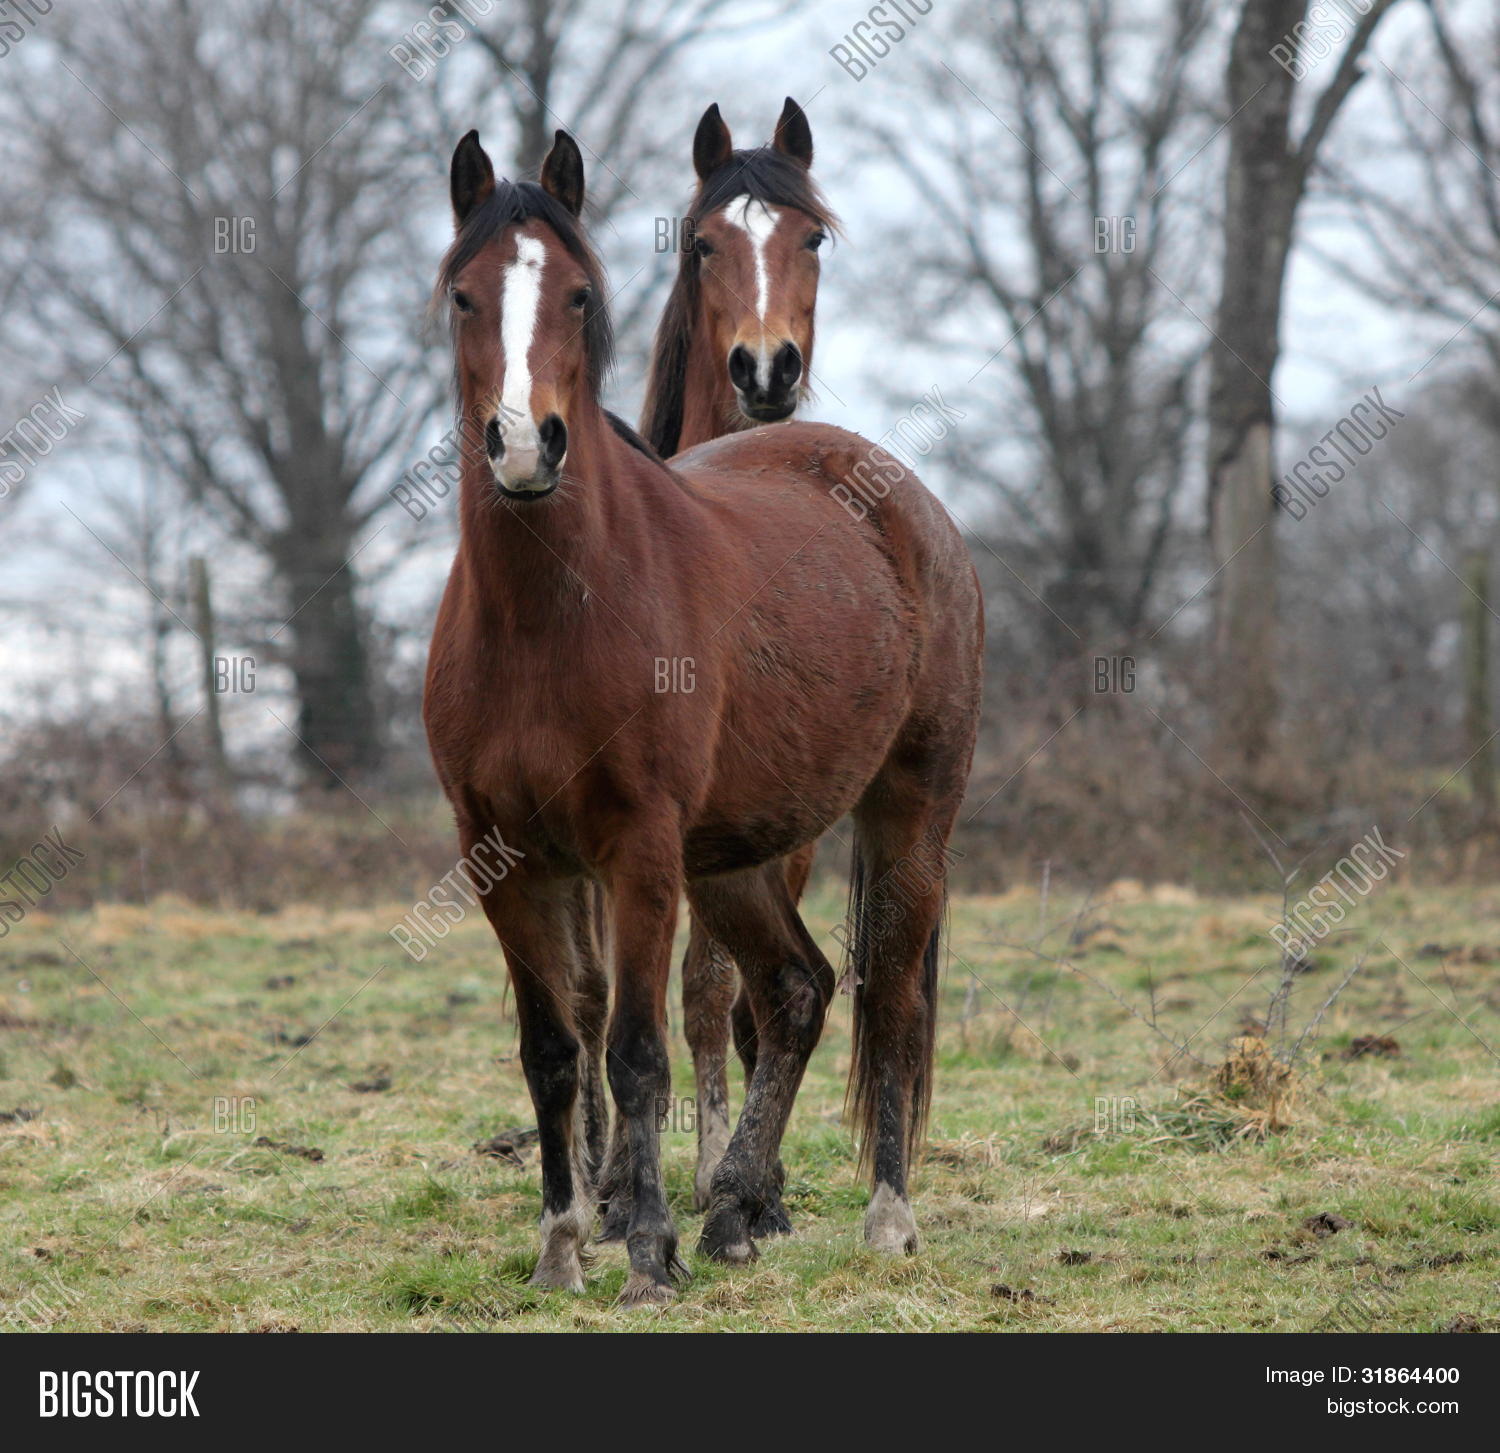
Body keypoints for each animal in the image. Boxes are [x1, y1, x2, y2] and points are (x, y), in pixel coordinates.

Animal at [423, 128, 982, 1304]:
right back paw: (731, 1203)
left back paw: (884, 1216)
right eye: (463, 294)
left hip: (910, 812)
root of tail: (901, 496)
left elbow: (638, 1049)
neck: (548, 612)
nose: (525, 446)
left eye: (581, 293)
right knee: (796, 987)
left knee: (889, 998)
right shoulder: (505, 857)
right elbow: (555, 1048)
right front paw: (563, 1242)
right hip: (733, 856)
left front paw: (645, 1251)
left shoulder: (638, 849)